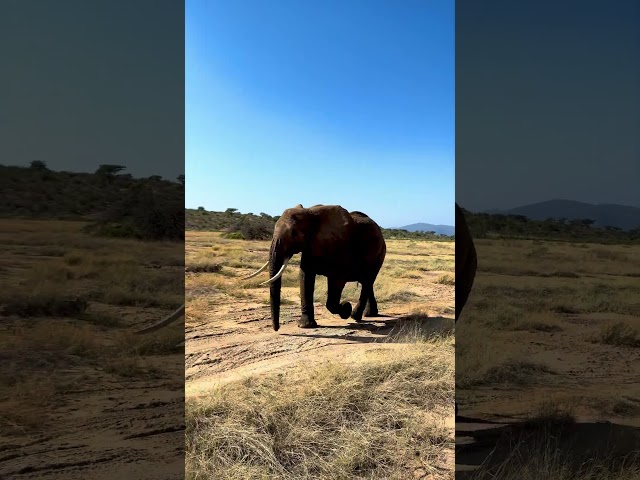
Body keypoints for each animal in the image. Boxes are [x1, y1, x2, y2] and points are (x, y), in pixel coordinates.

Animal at [244, 202, 384, 330]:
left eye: (294, 233)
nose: (277, 329)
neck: (310, 213)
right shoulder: (310, 245)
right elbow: (305, 277)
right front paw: (305, 325)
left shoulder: (340, 247)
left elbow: (337, 281)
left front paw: (346, 308)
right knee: (368, 283)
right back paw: (370, 314)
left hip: (379, 254)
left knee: (367, 281)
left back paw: (355, 315)